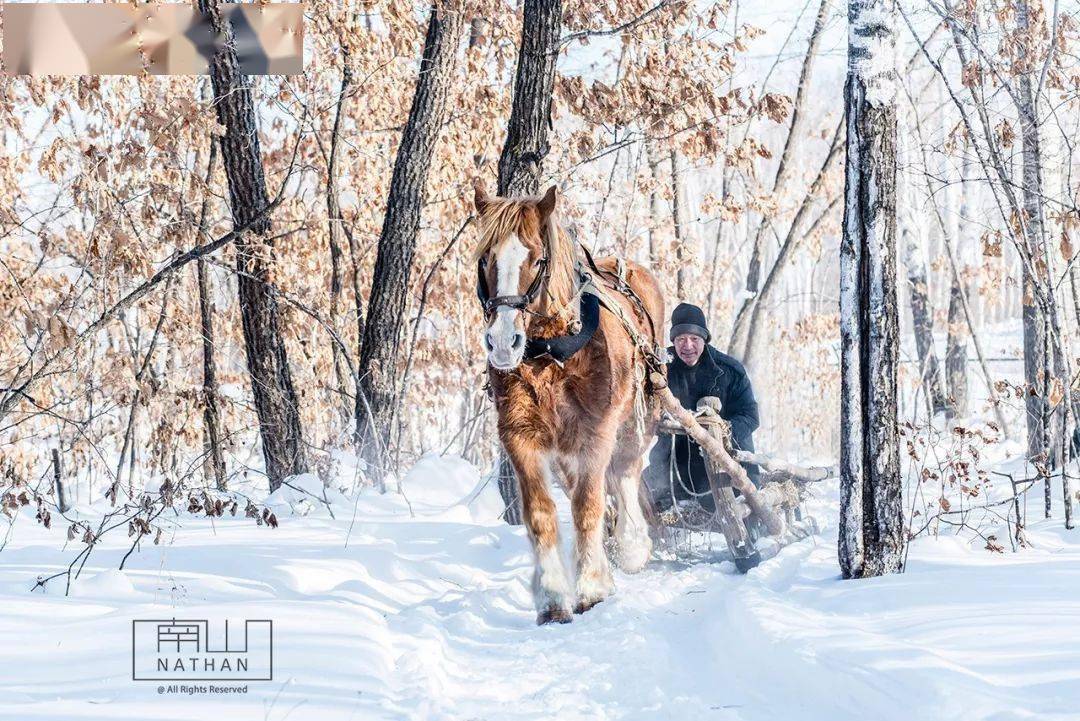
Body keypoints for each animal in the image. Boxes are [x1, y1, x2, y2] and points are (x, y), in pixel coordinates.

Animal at [475, 181, 665, 626]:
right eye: (485, 258)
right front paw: (552, 597)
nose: (502, 342)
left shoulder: (597, 430)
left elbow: (587, 504)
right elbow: (541, 513)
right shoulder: (519, 435)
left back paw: (631, 544)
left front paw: (592, 587)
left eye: (537, 258)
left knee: (626, 470)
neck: (550, 353)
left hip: (637, 418)